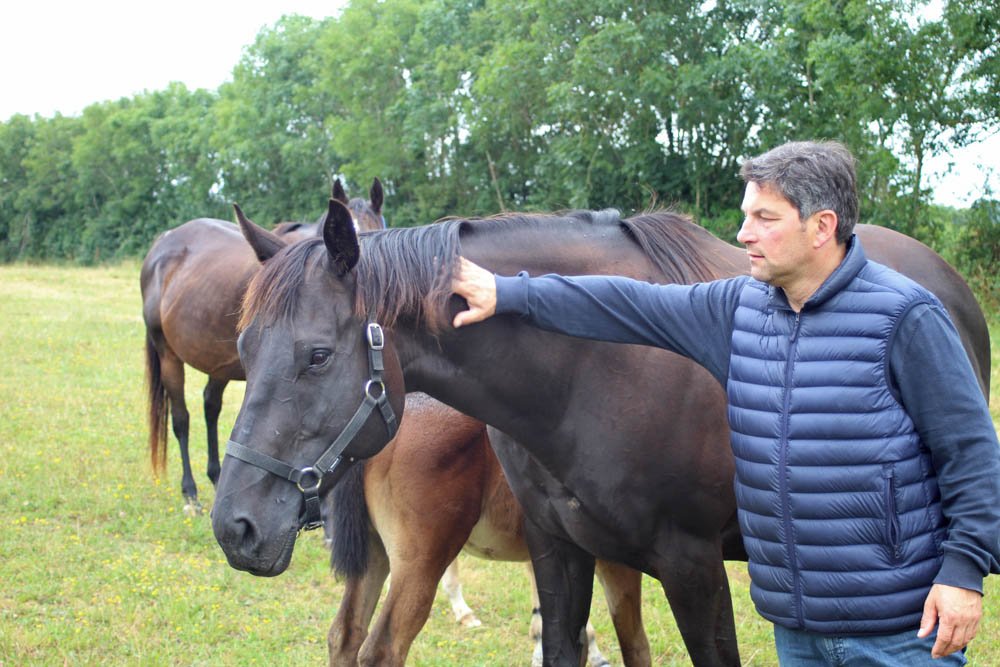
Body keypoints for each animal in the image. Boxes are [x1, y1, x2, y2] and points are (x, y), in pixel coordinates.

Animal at [140, 178, 385, 510]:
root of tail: (162, 244)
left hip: (218, 365)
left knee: (210, 406)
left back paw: (216, 478)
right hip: (168, 356)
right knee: (181, 420)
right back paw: (189, 492)